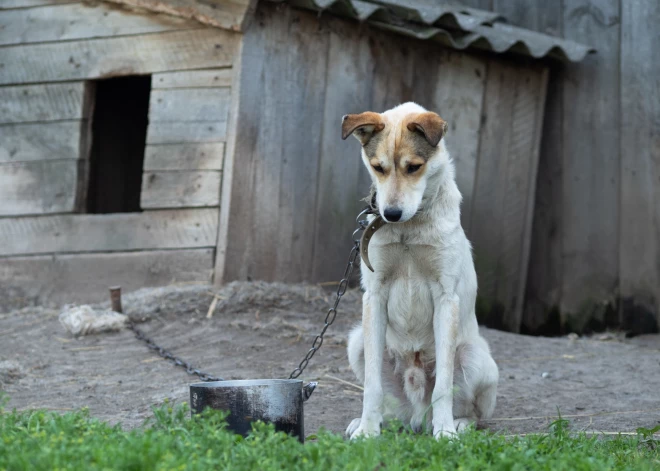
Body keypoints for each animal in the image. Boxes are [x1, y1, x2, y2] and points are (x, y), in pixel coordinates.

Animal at [342, 102, 498, 438]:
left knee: (473, 412)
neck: (408, 230)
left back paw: (457, 424)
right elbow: (371, 385)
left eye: (414, 167)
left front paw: (446, 433)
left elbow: (444, 386)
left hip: (476, 357)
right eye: (378, 167)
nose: (390, 213)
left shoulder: (445, 298)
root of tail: (417, 416)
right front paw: (367, 431)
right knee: (390, 406)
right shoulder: (374, 296)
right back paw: (372, 422)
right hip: (358, 341)